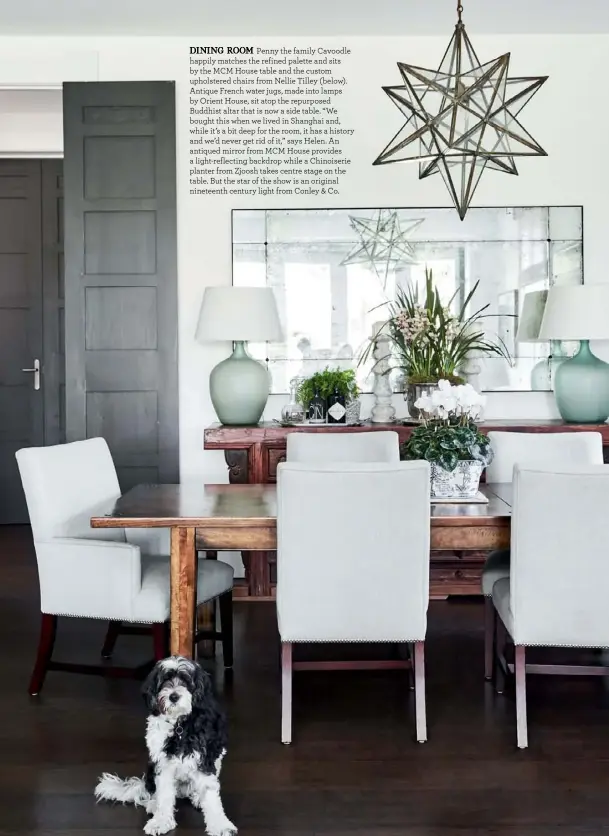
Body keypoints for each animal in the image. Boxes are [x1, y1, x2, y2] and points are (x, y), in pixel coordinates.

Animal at [95, 656, 238, 832]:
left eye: (186, 680)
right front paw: (161, 821)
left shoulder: (205, 759)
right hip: (151, 767)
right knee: (154, 791)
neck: (179, 725)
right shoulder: (163, 763)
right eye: (165, 680)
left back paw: (197, 797)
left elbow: (211, 795)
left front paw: (220, 825)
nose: (173, 696)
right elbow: (164, 794)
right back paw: (153, 803)